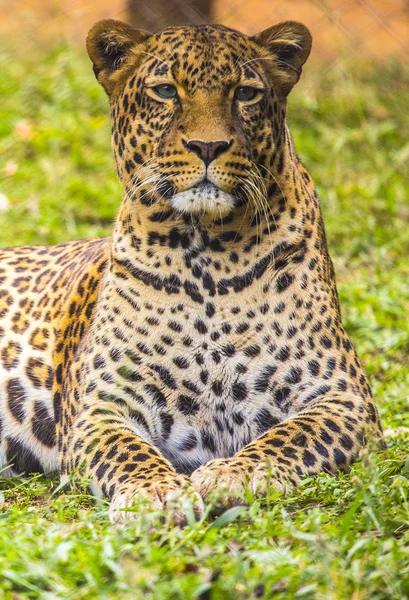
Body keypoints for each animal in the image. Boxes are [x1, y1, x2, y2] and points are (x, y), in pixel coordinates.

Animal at [0, 19, 382, 524]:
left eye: (244, 93)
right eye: (165, 90)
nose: (208, 146)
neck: (207, 257)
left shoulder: (343, 396)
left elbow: (289, 437)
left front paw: (232, 474)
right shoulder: (103, 406)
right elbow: (128, 452)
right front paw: (157, 491)